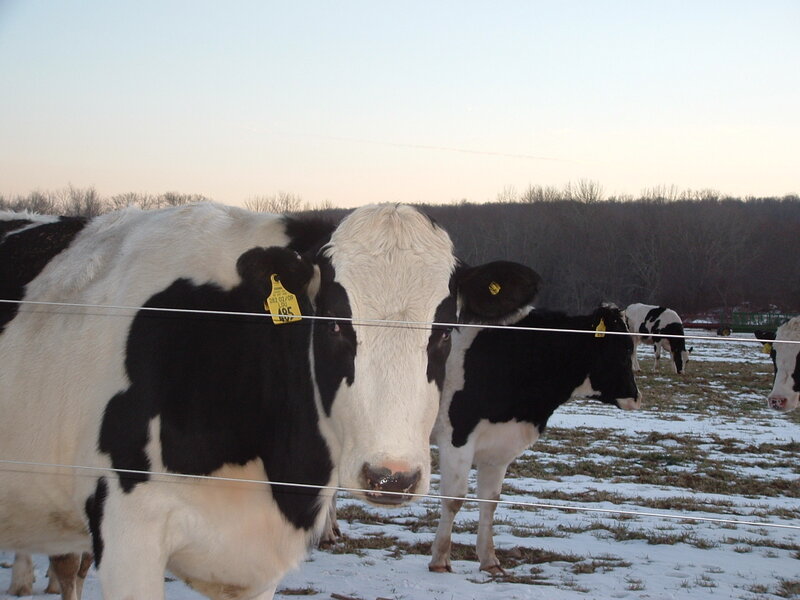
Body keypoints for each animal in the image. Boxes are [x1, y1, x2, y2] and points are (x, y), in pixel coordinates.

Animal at [428, 304, 641, 575]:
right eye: (624, 349)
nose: (636, 397)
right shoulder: (456, 436)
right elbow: (454, 499)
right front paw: (440, 560)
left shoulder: (498, 447)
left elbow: (490, 501)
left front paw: (490, 560)